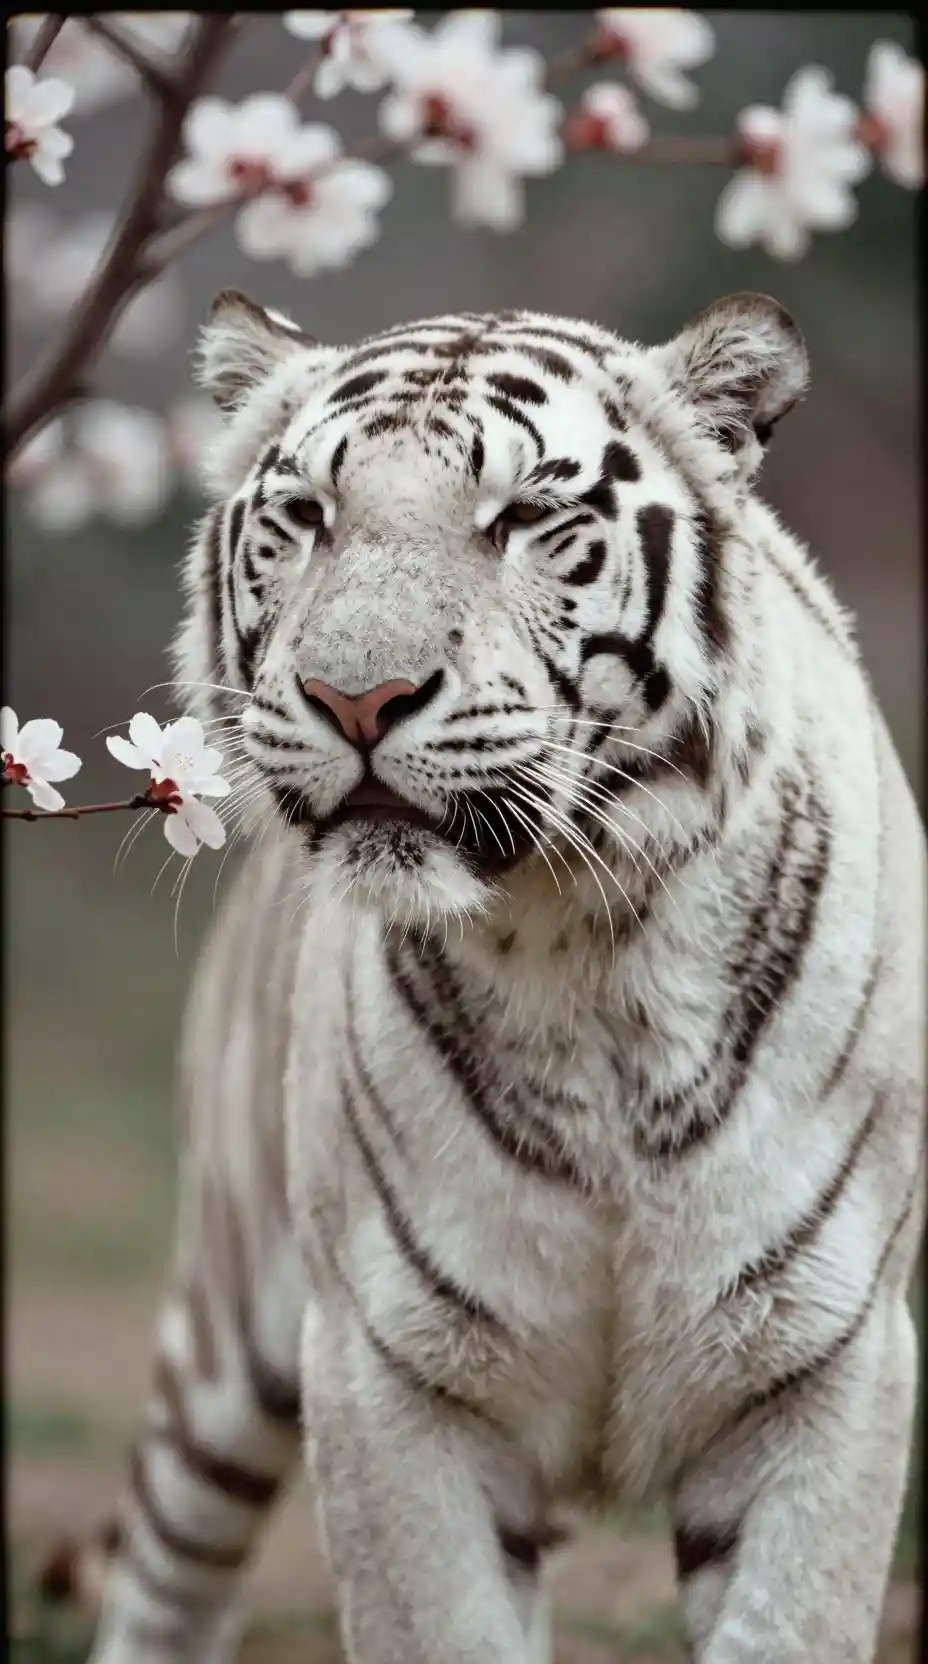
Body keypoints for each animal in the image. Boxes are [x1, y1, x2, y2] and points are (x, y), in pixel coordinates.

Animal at [70, 289, 924, 1664]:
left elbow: (790, 1618)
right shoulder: (388, 1370)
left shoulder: (825, 1356)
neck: (583, 951)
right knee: (163, 1577)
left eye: (522, 517)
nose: (355, 695)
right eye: (306, 514)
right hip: (226, 1339)